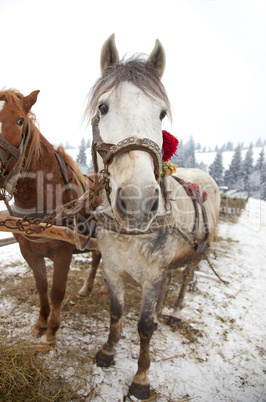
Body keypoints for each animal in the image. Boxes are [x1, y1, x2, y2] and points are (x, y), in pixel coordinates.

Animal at [0, 88, 100, 348]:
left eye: (20, 120)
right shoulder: (29, 251)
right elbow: (42, 287)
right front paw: (40, 323)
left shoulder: (63, 253)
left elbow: (57, 291)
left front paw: (52, 331)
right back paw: (87, 288)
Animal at [86, 34, 219, 398]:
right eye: (103, 107)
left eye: (161, 113)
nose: (138, 202)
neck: (130, 234)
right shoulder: (112, 268)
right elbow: (116, 311)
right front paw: (108, 351)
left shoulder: (153, 275)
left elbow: (144, 326)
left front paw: (141, 378)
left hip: (198, 251)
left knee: (185, 278)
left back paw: (173, 311)